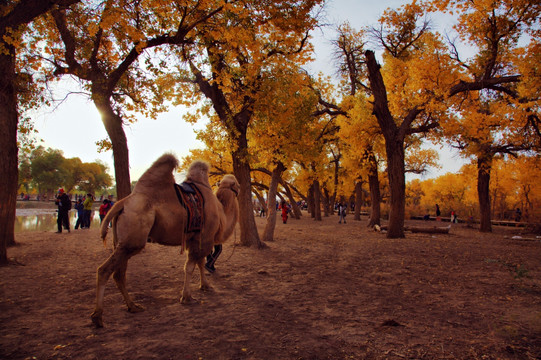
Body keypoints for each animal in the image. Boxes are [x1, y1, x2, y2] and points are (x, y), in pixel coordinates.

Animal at [90, 153, 238, 328]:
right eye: (236, 184)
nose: (240, 189)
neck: (222, 214)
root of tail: (121, 203)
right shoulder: (205, 237)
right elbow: (190, 267)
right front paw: (186, 297)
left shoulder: (195, 238)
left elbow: (200, 263)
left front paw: (205, 286)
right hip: (133, 239)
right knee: (104, 270)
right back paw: (98, 317)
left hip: (122, 242)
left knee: (119, 273)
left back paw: (133, 306)